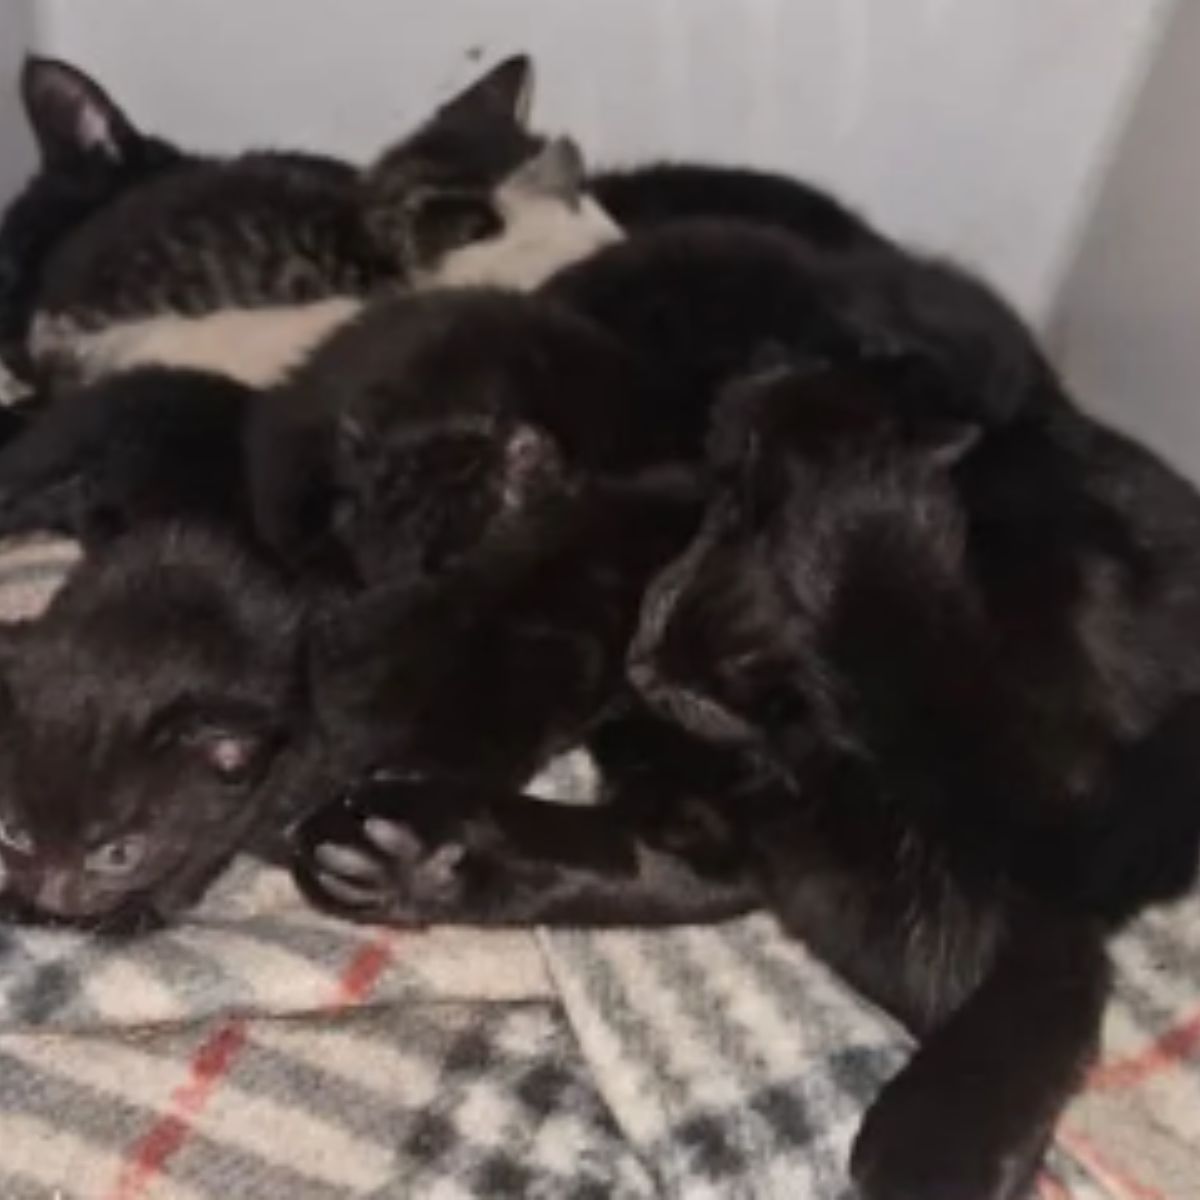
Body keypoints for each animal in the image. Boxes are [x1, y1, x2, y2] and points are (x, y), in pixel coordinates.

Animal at [0, 523, 307, 926]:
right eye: (13, 834)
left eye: (119, 854)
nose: (53, 899)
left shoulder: (252, 787)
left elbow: (204, 850)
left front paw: (144, 910)